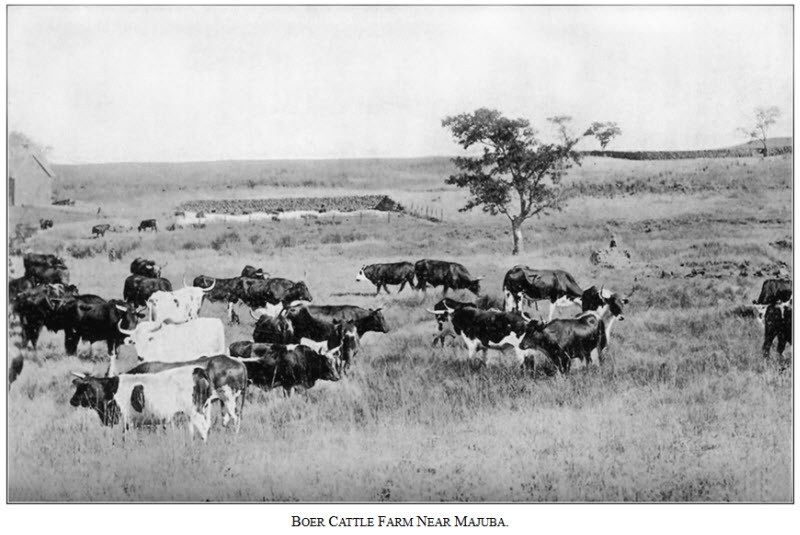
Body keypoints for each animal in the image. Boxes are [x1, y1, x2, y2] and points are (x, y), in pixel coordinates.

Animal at [70, 366, 215, 441]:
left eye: (82, 388)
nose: (72, 400)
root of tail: (198, 370)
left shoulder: (121, 420)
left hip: (195, 412)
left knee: (203, 429)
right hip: (200, 410)